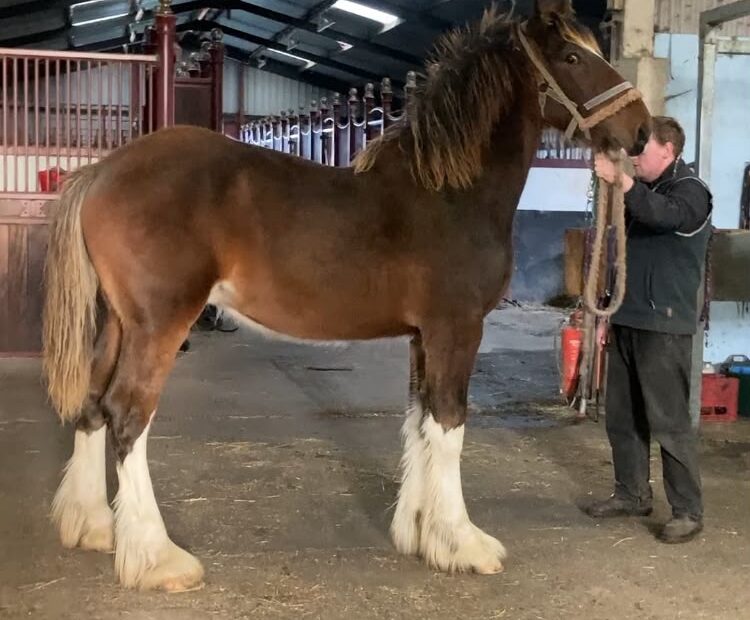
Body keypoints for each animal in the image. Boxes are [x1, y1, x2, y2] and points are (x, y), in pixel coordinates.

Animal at [42, 0, 651, 592]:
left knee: (93, 404)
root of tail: (102, 172)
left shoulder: (423, 337)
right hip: (160, 324)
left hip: (116, 321)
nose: (645, 131)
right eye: (573, 57)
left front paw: (419, 534)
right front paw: (463, 543)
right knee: (128, 415)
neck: (450, 194)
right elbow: (449, 425)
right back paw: (157, 559)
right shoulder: (456, 329)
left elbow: (420, 419)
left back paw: (93, 526)